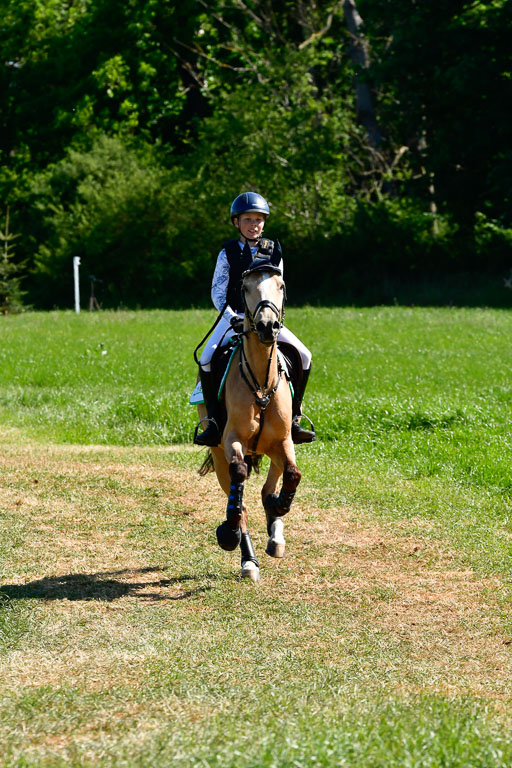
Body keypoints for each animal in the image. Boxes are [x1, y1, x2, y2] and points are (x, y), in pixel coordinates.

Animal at [198, 260, 302, 584]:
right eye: (245, 287)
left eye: (281, 285)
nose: (269, 326)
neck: (260, 382)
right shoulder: (232, 440)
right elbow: (239, 480)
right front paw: (228, 534)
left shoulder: (284, 440)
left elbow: (293, 474)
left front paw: (279, 506)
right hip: (219, 455)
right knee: (240, 498)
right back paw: (248, 559)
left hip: (273, 448)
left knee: (270, 486)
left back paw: (275, 532)